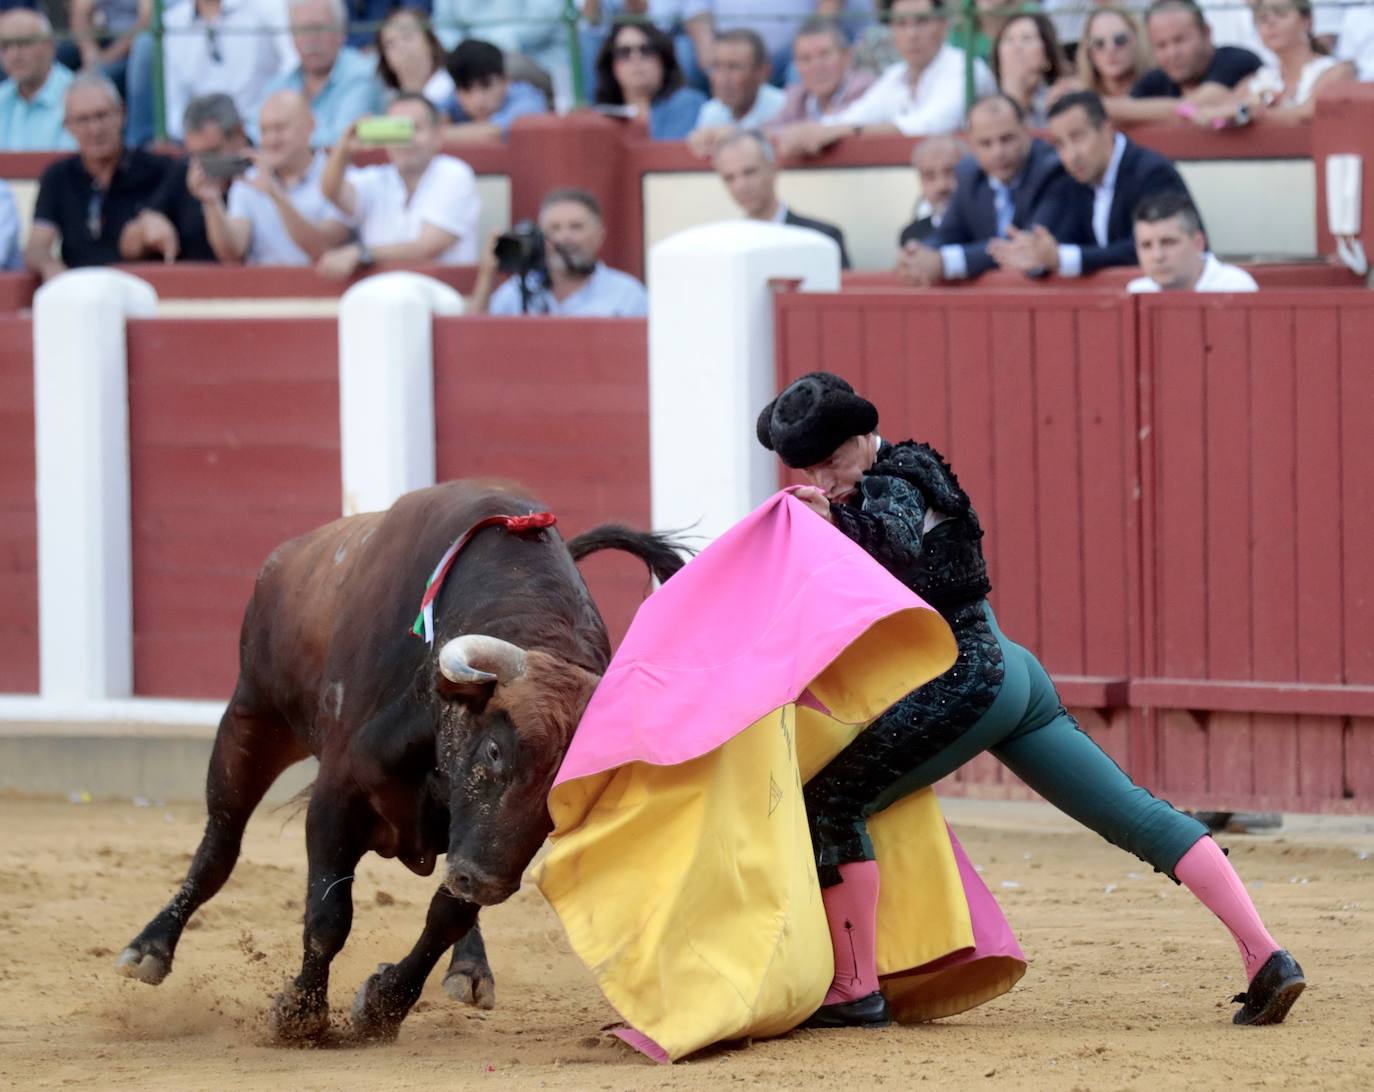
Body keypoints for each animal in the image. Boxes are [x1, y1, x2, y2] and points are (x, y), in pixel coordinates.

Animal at [115, 483, 684, 1043]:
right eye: (495, 750)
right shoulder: (335, 796)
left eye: (578, 784)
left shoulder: (482, 845)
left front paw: (383, 1006)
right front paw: (300, 1014)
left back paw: (469, 970)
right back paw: (148, 949)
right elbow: (328, 915)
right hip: (252, 719)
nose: (488, 883)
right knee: (221, 843)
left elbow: (447, 915)